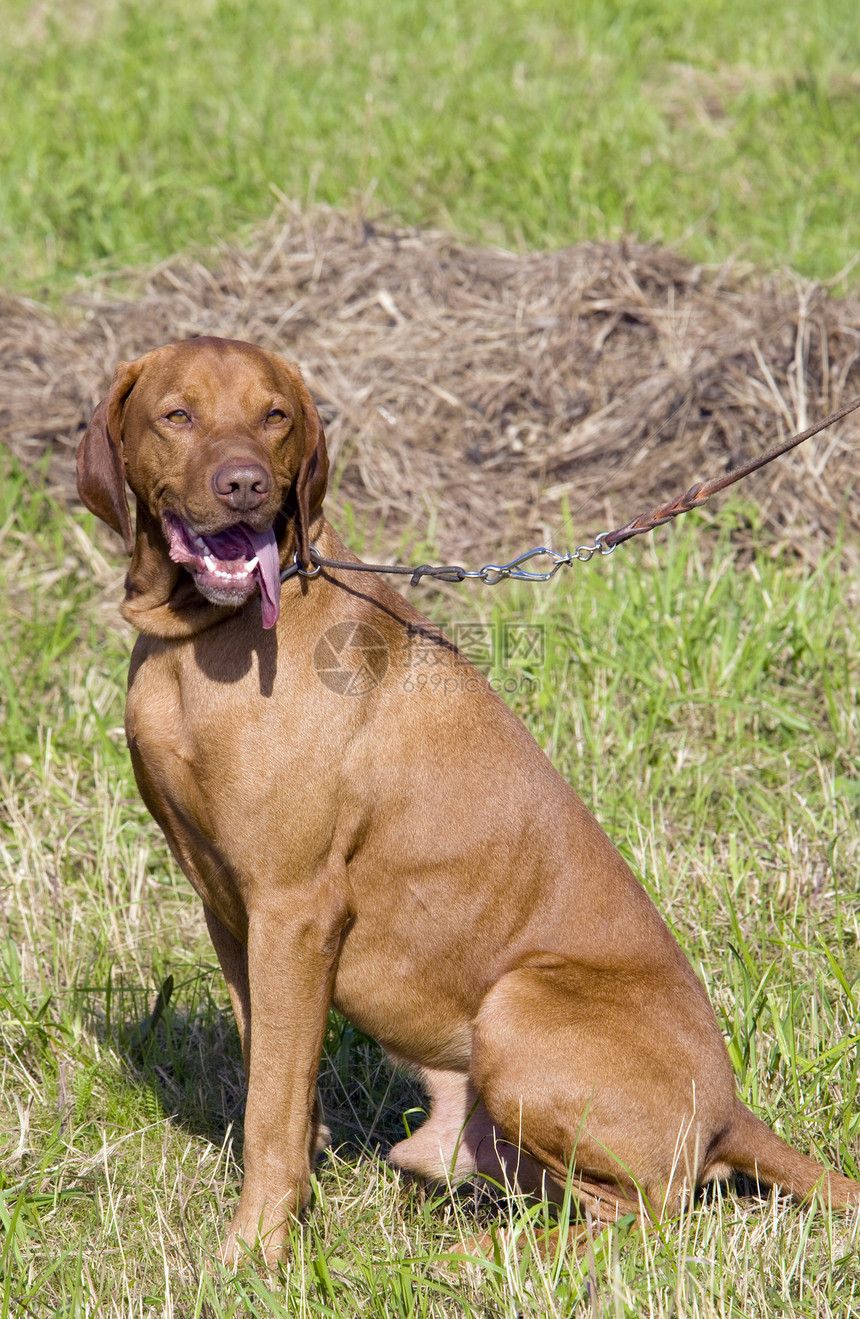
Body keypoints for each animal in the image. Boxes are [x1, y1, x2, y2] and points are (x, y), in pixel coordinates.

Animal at [77, 335, 854, 1260]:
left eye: (274, 415)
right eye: (177, 414)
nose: (245, 485)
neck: (199, 641)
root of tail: (731, 1110)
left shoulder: (294, 909)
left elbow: (271, 1107)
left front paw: (254, 1251)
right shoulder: (231, 909)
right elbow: (276, 1074)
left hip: (517, 1008)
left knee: (654, 1216)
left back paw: (489, 1251)